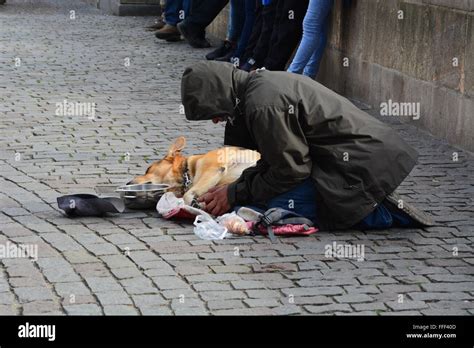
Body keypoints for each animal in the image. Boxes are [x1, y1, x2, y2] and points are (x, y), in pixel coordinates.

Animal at [129, 137, 260, 207]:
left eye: (148, 169)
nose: (127, 183)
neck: (188, 172)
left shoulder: (213, 169)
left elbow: (187, 195)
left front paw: (195, 203)